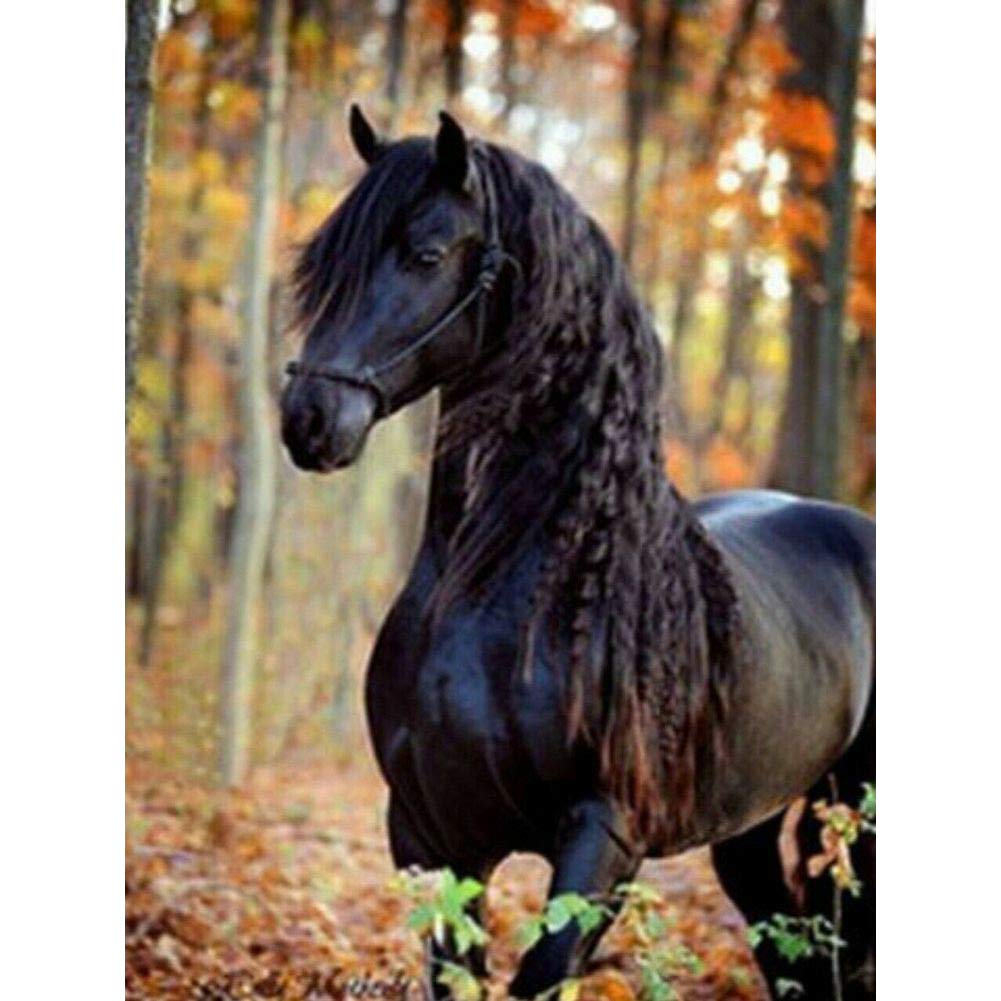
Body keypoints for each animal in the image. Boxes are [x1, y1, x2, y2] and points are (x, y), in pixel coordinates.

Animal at [280, 107, 875, 1000]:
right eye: (323, 262)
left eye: (425, 254)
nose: (308, 418)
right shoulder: (429, 835)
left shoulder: (603, 838)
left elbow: (541, 972)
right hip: (749, 825)